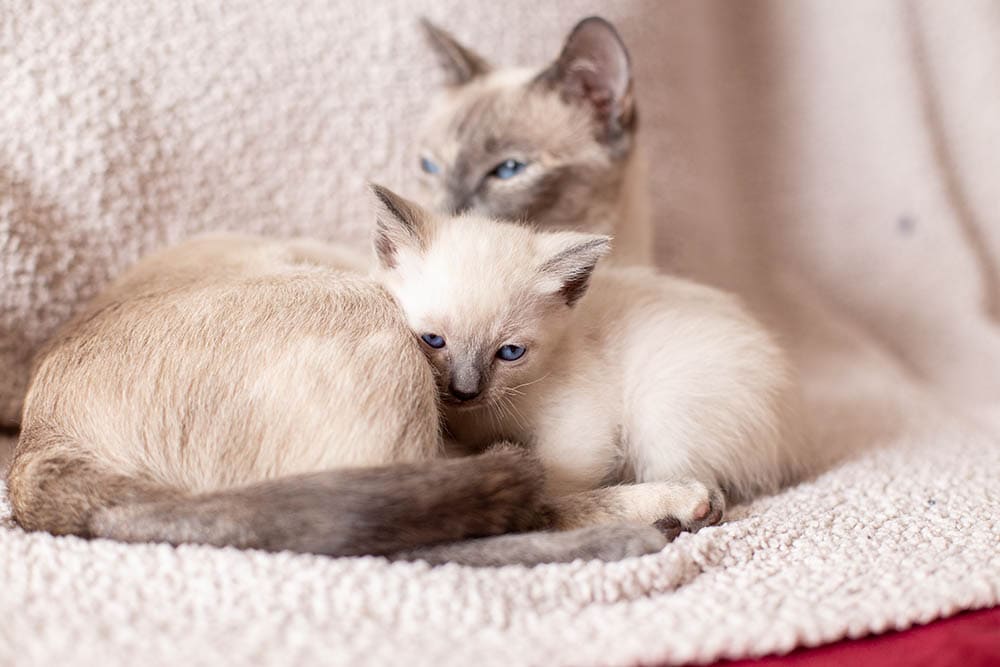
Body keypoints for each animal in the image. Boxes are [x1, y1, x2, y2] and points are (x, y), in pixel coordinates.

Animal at [7, 232, 668, 568]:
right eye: (436, 340)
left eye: (509, 351)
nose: (462, 390)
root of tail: (35, 445)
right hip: (362, 322)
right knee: (411, 534)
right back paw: (651, 522)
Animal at [374, 187, 804, 532]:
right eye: (433, 341)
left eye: (510, 352)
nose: (465, 390)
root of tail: (792, 425)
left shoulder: (581, 428)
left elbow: (553, 482)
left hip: (664, 408)